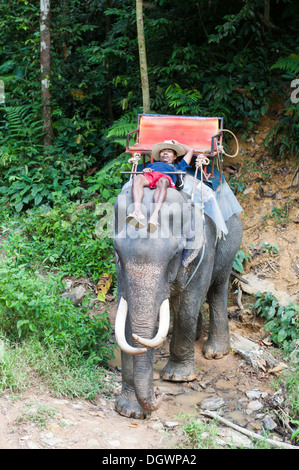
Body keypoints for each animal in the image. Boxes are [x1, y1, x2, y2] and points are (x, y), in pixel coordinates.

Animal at [113, 184, 244, 418]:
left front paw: (178, 376)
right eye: (117, 251)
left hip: (231, 243)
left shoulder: (204, 250)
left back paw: (215, 352)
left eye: (175, 253)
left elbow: (187, 305)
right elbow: (126, 320)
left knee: (217, 288)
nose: (158, 395)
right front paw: (130, 410)